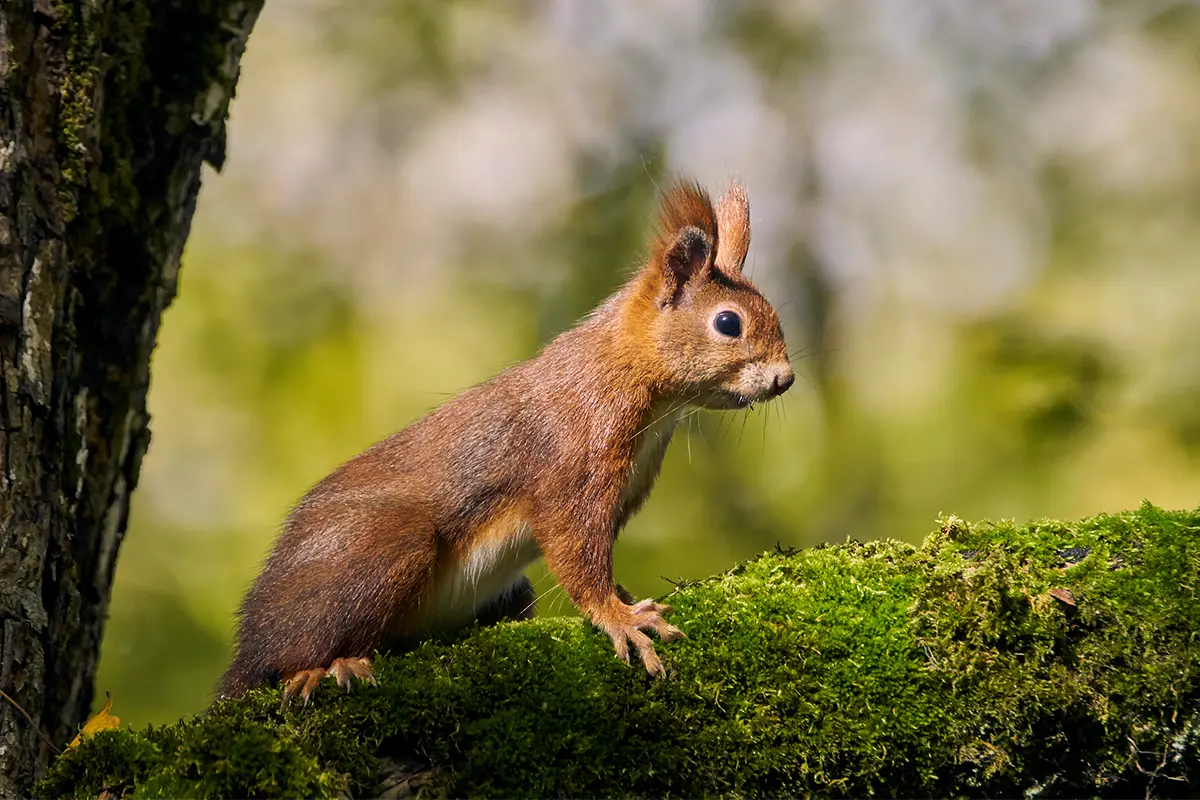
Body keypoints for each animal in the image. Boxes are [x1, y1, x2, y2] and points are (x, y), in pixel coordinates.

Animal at [218, 177, 794, 701]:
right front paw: (620, 617)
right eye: (728, 322)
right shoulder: (571, 463)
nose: (785, 379)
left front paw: (626, 600)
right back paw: (318, 668)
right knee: (282, 654)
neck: (633, 382)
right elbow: (577, 553)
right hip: (378, 550)